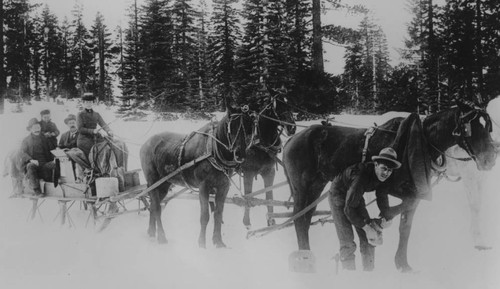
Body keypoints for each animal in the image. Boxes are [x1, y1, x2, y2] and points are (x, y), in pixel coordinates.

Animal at [142, 106, 254, 248]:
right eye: (231, 127)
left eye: (249, 127)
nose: (240, 154)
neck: (214, 152)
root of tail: (146, 143)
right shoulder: (203, 187)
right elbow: (205, 216)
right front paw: (202, 244)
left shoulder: (223, 187)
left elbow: (218, 215)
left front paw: (218, 242)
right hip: (152, 181)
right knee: (156, 208)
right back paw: (161, 237)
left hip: (164, 184)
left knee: (153, 206)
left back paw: (151, 233)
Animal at [242, 93, 296, 228]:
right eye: (279, 106)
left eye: (290, 104)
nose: (292, 128)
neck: (261, 142)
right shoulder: (248, 173)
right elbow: (248, 196)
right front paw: (246, 222)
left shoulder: (269, 172)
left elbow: (269, 196)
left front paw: (271, 220)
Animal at [284, 100, 498, 270]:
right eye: (469, 126)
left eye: (487, 126)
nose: (490, 159)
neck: (419, 140)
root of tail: (292, 139)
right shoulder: (390, 188)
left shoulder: (415, 191)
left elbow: (405, 228)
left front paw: (402, 264)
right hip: (302, 187)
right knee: (299, 219)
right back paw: (305, 258)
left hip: (316, 185)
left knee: (306, 218)